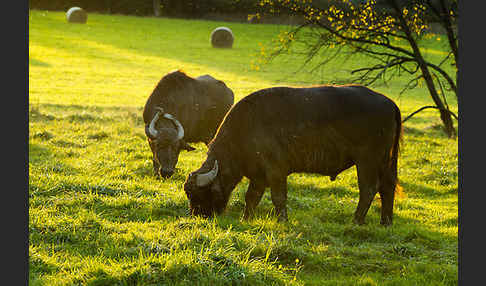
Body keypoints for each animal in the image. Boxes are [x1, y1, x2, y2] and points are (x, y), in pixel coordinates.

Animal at [184, 85, 400, 226]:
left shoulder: (276, 171)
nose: (199, 215)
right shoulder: (258, 176)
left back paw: (356, 220)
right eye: (190, 194)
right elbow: (251, 197)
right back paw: (386, 222)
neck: (246, 127)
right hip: (384, 161)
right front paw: (246, 218)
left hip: (367, 160)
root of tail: (389, 103)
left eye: (202, 193)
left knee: (369, 188)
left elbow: (278, 197)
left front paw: (282, 221)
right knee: (387, 186)